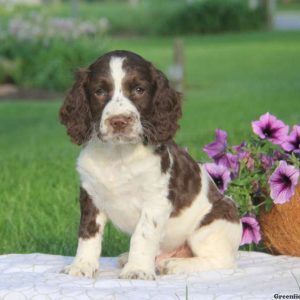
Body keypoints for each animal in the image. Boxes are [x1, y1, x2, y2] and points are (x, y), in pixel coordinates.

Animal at [59, 50, 243, 280]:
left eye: (139, 90)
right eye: (99, 91)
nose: (119, 121)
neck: (118, 154)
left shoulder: (156, 199)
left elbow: (143, 234)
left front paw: (137, 269)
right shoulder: (90, 194)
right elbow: (87, 232)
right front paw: (82, 265)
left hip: (212, 225)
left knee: (222, 260)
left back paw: (175, 264)